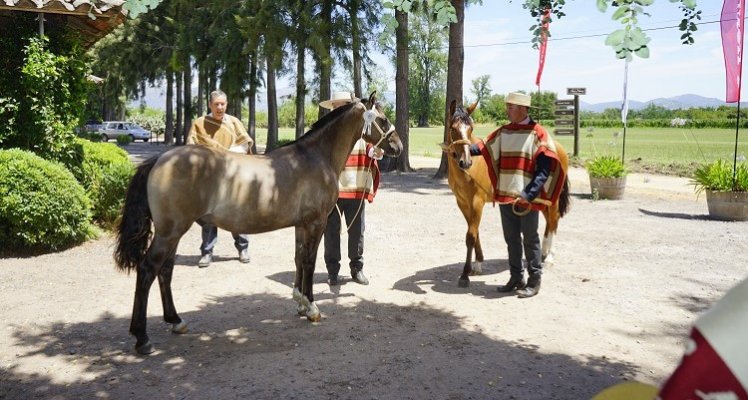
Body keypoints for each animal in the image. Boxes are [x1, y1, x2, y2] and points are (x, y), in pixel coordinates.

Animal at [113, 93, 400, 354]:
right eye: (383, 119)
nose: (397, 146)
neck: (316, 156)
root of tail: (160, 160)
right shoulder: (316, 223)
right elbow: (309, 261)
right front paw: (312, 307)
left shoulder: (300, 225)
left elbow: (298, 258)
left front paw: (299, 302)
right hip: (170, 232)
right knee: (148, 270)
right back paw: (142, 338)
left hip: (173, 232)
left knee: (165, 271)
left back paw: (176, 321)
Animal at [442, 100, 568, 288]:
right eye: (453, 128)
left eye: (470, 128)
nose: (466, 162)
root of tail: (557, 146)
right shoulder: (463, 203)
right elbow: (474, 232)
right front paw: (477, 265)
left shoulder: (477, 202)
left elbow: (471, 235)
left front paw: (465, 275)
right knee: (550, 222)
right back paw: (544, 254)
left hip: (552, 199)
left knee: (553, 220)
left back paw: (549, 258)